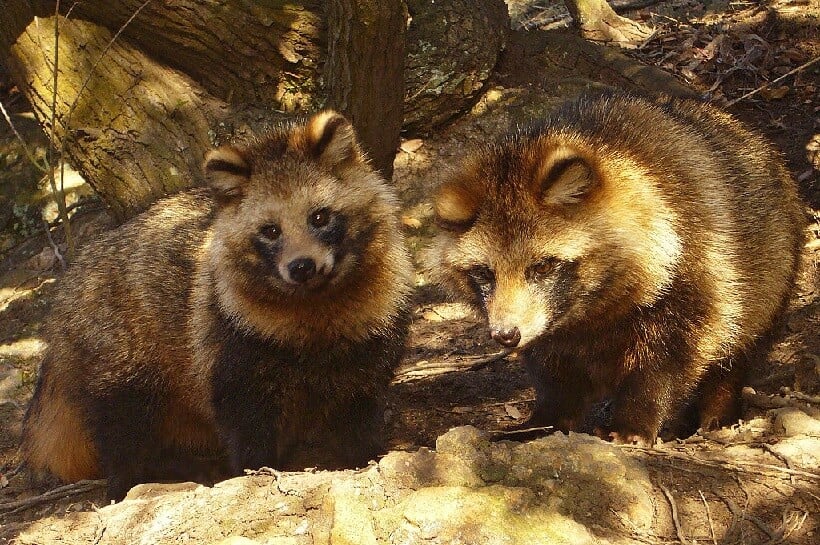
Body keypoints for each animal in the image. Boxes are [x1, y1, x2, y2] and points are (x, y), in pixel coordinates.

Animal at [21, 111, 414, 499]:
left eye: (319, 217)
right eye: (270, 231)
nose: (302, 267)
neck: (314, 300)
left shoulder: (372, 331)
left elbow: (359, 407)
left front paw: (364, 455)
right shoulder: (231, 341)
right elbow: (245, 422)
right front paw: (257, 470)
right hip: (116, 349)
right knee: (122, 427)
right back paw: (125, 483)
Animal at [430, 90, 806, 445]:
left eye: (543, 266)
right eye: (484, 273)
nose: (506, 335)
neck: (590, 311)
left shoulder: (697, 269)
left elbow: (669, 358)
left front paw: (636, 417)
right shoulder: (548, 323)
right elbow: (553, 368)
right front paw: (547, 417)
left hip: (770, 274)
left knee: (736, 350)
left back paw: (718, 408)